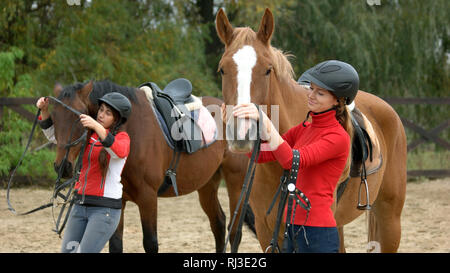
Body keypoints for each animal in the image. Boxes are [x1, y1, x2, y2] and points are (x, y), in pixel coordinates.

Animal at [50, 78, 253, 251]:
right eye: (53, 118)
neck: (131, 130)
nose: (62, 167)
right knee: (218, 224)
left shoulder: (147, 197)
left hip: (236, 184)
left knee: (234, 232)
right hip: (207, 184)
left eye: (79, 118)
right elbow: (115, 243)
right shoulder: (117, 201)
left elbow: (150, 243)